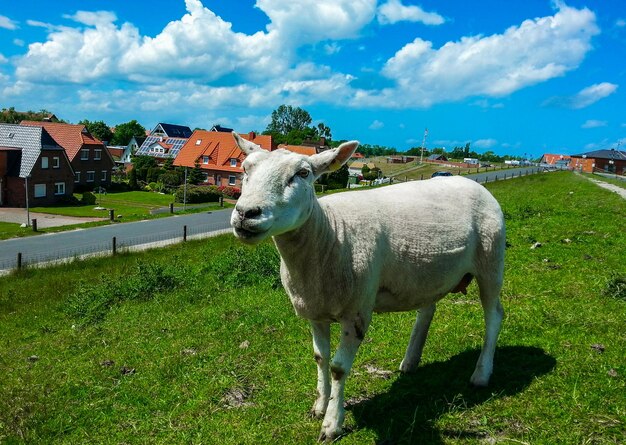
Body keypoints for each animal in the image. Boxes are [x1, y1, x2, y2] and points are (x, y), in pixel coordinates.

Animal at [229, 132, 502, 440]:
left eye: (303, 174)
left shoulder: (356, 311)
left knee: (494, 316)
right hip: (428, 272)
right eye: (245, 169)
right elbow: (320, 358)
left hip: (491, 261)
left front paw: (332, 423)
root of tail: (473, 184)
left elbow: (337, 367)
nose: (246, 213)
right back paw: (410, 362)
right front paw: (320, 406)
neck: (330, 234)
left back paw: (481, 374)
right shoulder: (315, 310)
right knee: (427, 310)